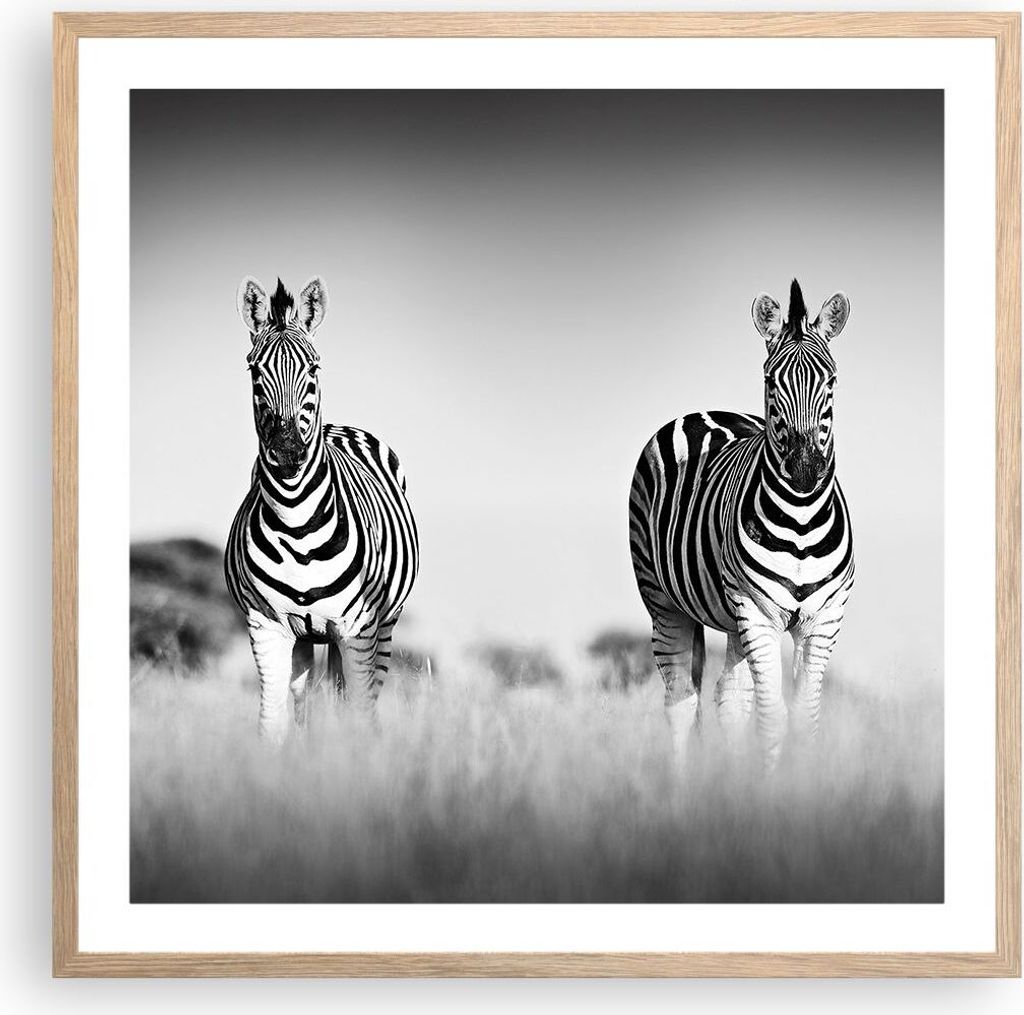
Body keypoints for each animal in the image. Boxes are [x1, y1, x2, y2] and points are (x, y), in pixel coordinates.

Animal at [225, 276, 419, 741]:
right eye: (254, 371)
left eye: (313, 369)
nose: (287, 452)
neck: (297, 523)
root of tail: (338, 426)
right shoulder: (267, 626)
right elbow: (272, 723)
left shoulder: (359, 630)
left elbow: (360, 716)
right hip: (307, 637)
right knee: (307, 701)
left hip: (384, 627)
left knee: (359, 700)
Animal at [628, 280, 854, 768]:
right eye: (771, 380)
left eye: (831, 381)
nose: (805, 470)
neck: (801, 520)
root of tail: (705, 411)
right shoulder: (757, 611)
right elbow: (772, 716)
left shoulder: (823, 619)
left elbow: (804, 717)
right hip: (664, 601)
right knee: (681, 700)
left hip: (733, 620)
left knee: (729, 697)